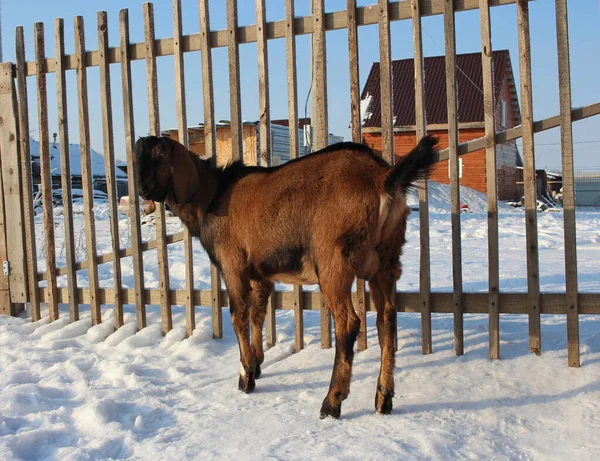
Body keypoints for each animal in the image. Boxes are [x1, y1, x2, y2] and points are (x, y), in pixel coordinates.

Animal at [135, 135, 436, 418]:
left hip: (333, 260)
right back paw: (383, 397)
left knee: (349, 323)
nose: (141, 189)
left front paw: (246, 374)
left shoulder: (233, 264)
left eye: (161, 154)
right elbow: (258, 314)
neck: (213, 196)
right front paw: (257, 363)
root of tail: (382, 179)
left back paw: (332, 401)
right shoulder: (260, 274)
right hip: (386, 261)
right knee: (387, 319)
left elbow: (238, 314)